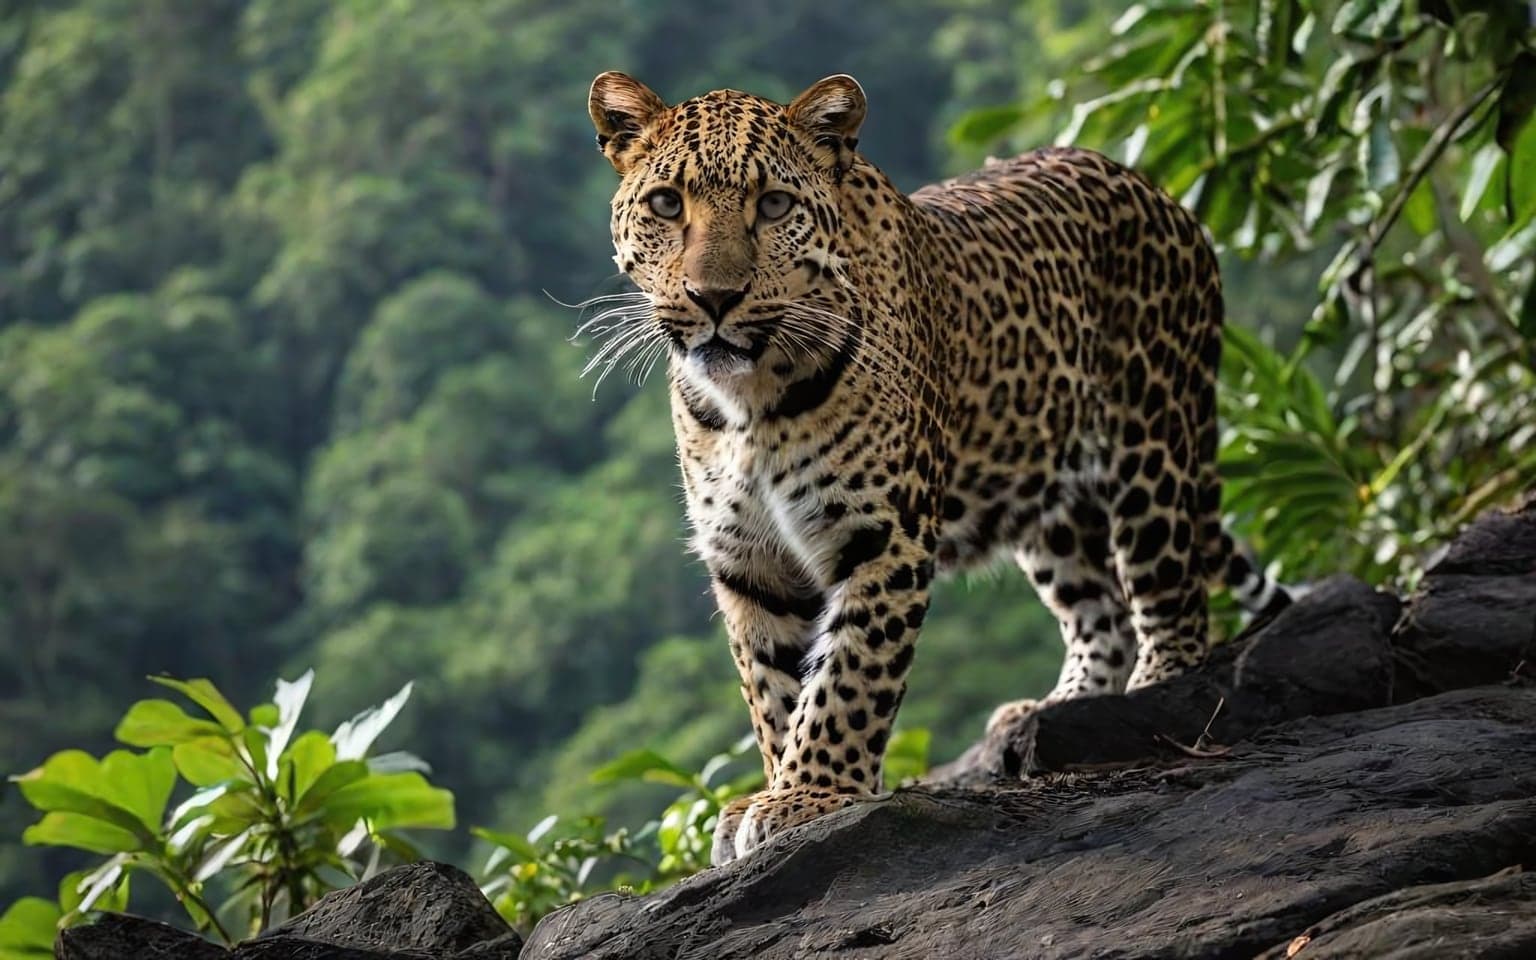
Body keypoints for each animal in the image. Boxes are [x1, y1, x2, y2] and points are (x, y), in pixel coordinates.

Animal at [584, 71, 1291, 866]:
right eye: (666, 205)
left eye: (773, 206)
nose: (713, 299)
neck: (751, 400)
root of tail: (1160, 191)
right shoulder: (747, 559)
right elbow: (773, 689)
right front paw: (776, 789)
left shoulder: (881, 535)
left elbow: (847, 678)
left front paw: (811, 794)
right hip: (1046, 491)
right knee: (1099, 611)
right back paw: (1058, 708)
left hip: (1154, 437)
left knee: (1171, 596)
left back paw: (1149, 694)